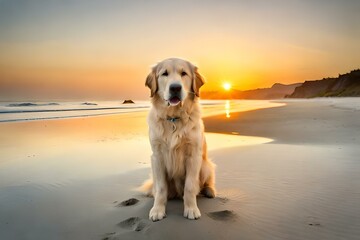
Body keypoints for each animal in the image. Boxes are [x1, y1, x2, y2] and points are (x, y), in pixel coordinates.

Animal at [141, 58, 215, 221]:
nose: (175, 88)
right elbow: (161, 187)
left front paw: (191, 209)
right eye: (164, 73)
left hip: (205, 166)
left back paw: (210, 191)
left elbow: (190, 186)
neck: (174, 119)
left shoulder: (193, 156)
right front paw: (157, 210)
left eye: (184, 73)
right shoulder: (157, 156)